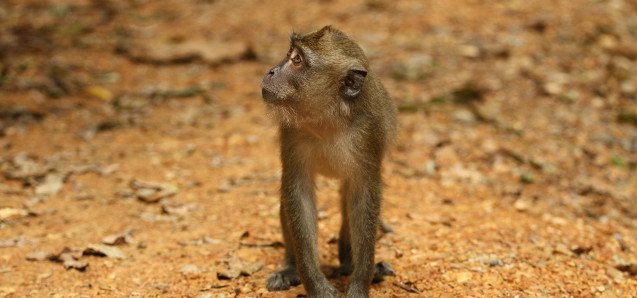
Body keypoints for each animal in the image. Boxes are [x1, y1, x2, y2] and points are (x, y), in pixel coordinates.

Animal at [260, 26, 396, 298]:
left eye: (297, 60)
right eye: (290, 54)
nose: (271, 71)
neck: (328, 117)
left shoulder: (368, 132)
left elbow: (364, 196)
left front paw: (360, 283)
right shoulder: (292, 131)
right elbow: (298, 191)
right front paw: (316, 285)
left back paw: (350, 264)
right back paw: (290, 268)